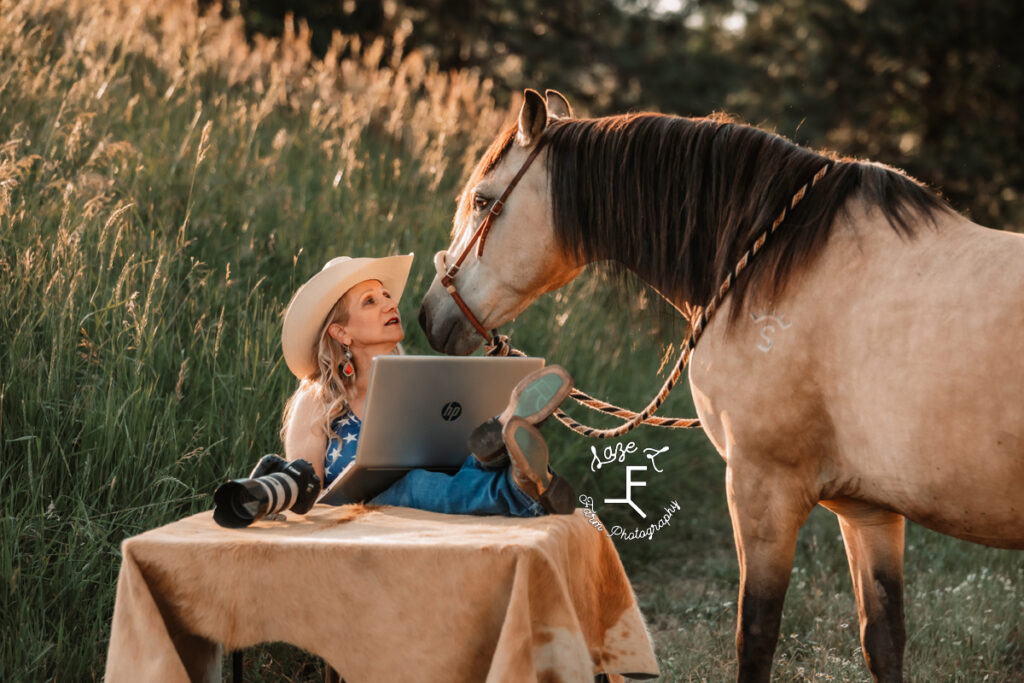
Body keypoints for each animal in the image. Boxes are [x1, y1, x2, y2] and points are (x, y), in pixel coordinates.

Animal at [415, 90, 1024, 683]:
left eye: (482, 200)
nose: (428, 314)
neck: (777, 267)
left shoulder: (762, 488)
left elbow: (755, 636)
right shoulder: (868, 510)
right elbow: (884, 641)